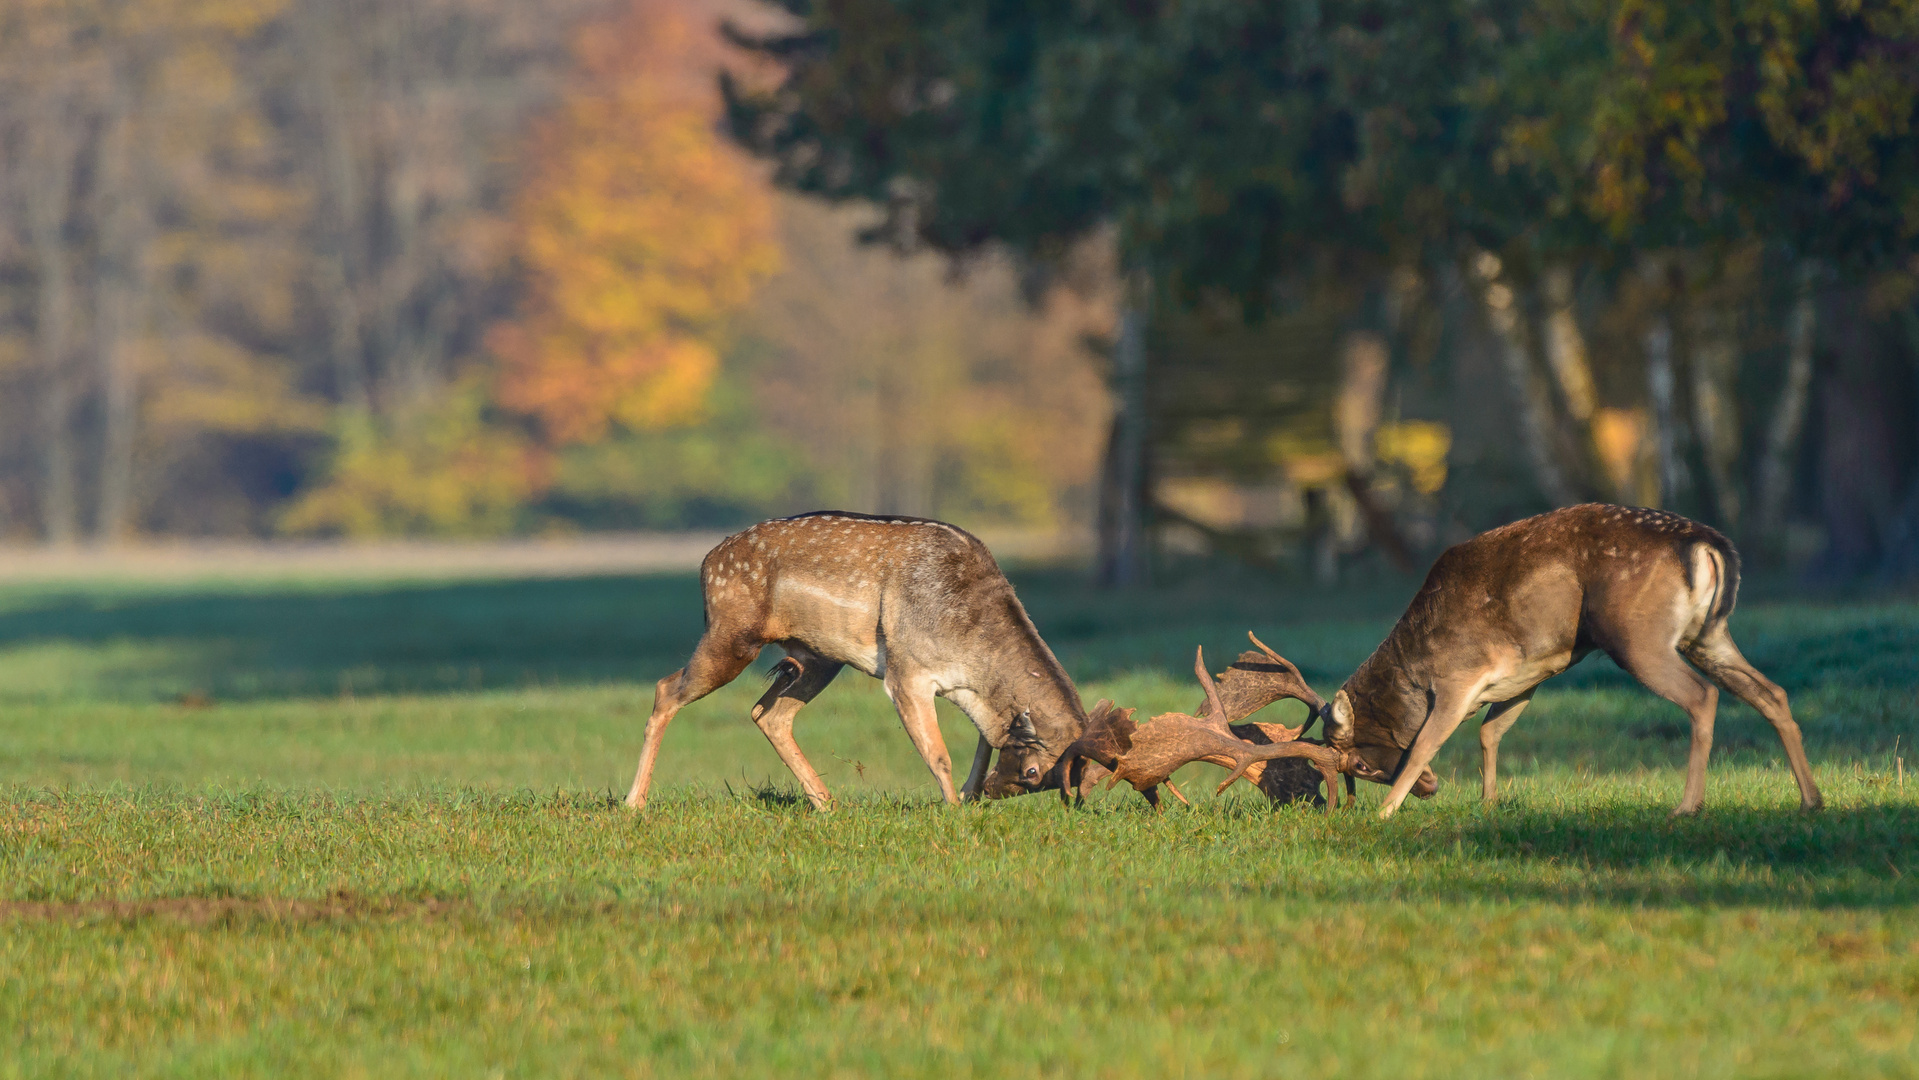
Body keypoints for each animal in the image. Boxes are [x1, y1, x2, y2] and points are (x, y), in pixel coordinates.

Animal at [621, 514, 1089, 813]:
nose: (992, 794)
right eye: (1033, 771)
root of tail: (705, 564)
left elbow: (984, 740)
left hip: (820, 658)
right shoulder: (907, 671)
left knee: (768, 714)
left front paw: (967, 798)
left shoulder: (966, 692)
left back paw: (827, 804)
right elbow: (939, 753)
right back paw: (633, 803)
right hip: (732, 636)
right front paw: (954, 810)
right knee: (666, 689)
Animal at [1327, 506, 1819, 821]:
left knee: (1703, 695)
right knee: (1772, 691)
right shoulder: (1527, 676)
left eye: (1361, 765)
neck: (1414, 668)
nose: (1430, 790)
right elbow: (1490, 732)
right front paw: (1488, 804)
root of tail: (1710, 546)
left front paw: (1385, 812)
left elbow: (1425, 745)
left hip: (1638, 637)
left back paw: (1687, 807)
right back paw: (1811, 800)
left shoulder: (1459, 674)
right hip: (1707, 635)